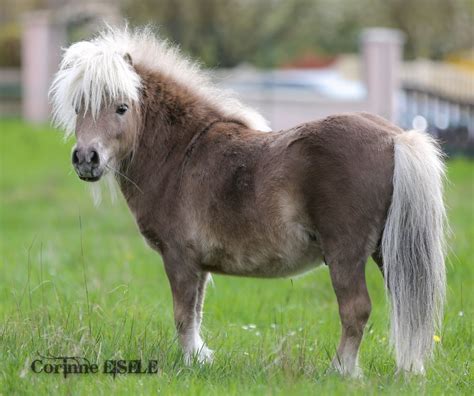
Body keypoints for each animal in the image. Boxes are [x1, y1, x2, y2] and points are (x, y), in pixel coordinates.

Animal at [50, 27, 446, 378]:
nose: (86, 159)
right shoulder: (199, 265)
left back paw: (341, 371)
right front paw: (201, 360)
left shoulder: (179, 258)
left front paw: (190, 363)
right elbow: (195, 313)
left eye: (121, 108)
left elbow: (182, 315)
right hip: (387, 251)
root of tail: (396, 138)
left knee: (356, 310)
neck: (182, 154)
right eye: (79, 106)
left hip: (346, 254)